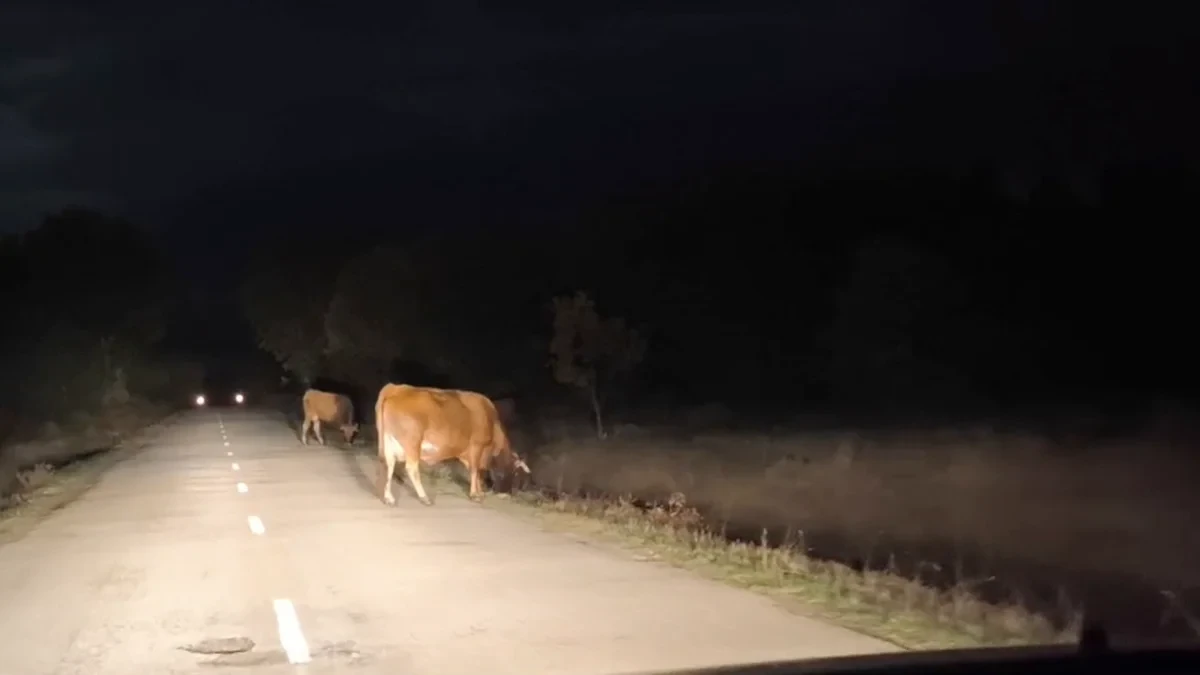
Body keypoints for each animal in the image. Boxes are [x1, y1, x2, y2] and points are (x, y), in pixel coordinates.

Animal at [374, 383, 531, 506]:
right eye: (516, 474)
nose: (508, 493)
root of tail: (397, 388)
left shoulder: (467, 453)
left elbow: (476, 472)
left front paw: (479, 492)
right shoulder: (476, 446)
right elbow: (475, 471)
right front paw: (475, 495)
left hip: (389, 440)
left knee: (389, 464)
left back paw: (389, 498)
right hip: (413, 442)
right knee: (411, 468)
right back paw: (424, 497)